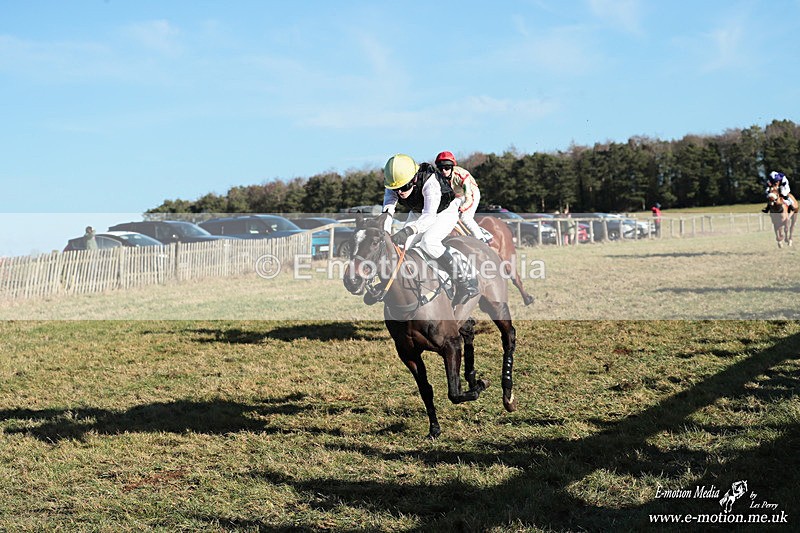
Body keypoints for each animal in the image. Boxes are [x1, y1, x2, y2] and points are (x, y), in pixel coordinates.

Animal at [343, 213, 518, 439]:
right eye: (350, 244)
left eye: (375, 242)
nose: (352, 281)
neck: (410, 298)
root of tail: (479, 241)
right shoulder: (408, 353)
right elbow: (426, 390)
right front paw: (434, 428)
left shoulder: (450, 345)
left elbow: (454, 393)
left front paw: (481, 385)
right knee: (469, 330)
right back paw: (471, 376)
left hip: (496, 305)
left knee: (508, 337)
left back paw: (507, 394)